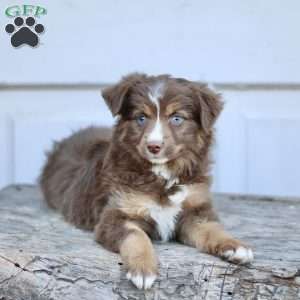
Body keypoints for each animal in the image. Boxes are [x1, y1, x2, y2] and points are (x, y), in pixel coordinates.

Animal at [39, 73, 253, 290]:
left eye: (177, 118)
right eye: (141, 118)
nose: (154, 146)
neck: (162, 175)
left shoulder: (196, 210)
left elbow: (212, 229)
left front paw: (234, 246)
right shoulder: (115, 215)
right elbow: (136, 236)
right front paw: (142, 269)